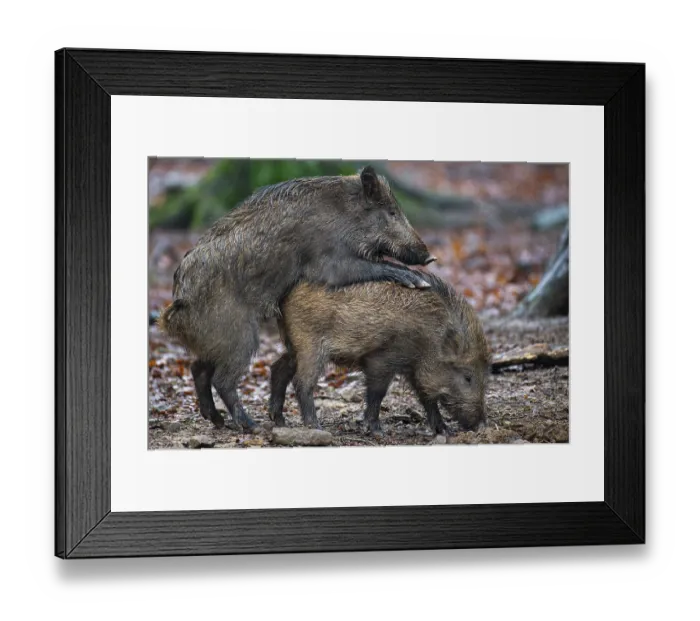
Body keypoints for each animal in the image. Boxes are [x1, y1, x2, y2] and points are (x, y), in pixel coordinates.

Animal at [159, 166, 435, 430]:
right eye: (391, 212)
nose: (430, 256)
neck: (346, 215)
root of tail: (175, 311)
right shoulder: (329, 263)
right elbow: (370, 266)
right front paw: (419, 281)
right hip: (239, 335)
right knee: (222, 379)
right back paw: (251, 426)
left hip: (217, 340)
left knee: (198, 368)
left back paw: (219, 421)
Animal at [269, 272, 490, 435]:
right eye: (468, 377)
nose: (481, 424)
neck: (429, 337)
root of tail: (284, 297)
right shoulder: (381, 359)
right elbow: (378, 392)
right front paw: (377, 431)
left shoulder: (414, 369)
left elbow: (427, 398)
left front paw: (444, 431)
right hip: (310, 345)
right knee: (302, 382)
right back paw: (316, 427)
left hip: (295, 346)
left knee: (278, 367)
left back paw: (279, 421)